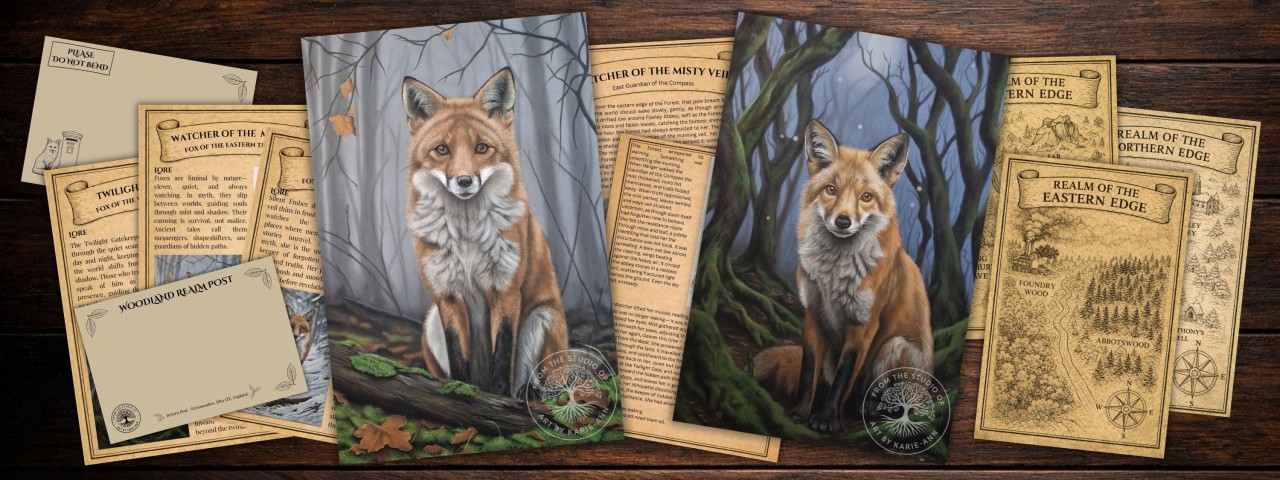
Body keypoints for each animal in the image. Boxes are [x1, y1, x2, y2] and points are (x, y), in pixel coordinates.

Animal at [402, 68, 568, 398]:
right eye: (442, 150)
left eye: (481, 148)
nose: (464, 181)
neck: (467, 235)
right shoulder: (447, 295)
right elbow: (457, 354)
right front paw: (459, 390)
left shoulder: (504, 289)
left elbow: (502, 355)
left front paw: (499, 396)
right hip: (431, 321)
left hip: (542, 318)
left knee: (549, 391)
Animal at [753, 119, 933, 433]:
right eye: (831, 190)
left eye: (866, 197)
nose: (843, 221)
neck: (833, 276)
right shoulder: (813, 313)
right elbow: (807, 371)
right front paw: (800, 412)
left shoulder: (864, 325)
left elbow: (842, 379)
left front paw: (826, 418)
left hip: (895, 346)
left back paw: (870, 415)